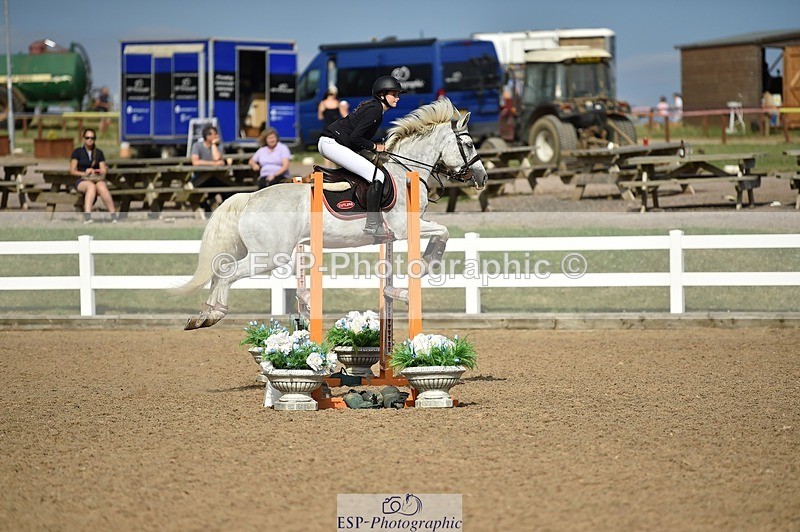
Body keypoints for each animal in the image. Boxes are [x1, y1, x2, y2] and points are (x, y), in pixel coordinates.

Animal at [174, 98, 488, 329]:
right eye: (469, 144)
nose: (482, 177)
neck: (407, 170)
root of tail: (250, 198)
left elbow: (442, 231)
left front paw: (426, 262)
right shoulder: (404, 226)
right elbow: (443, 231)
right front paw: (426, 263)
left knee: (219, 269)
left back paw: (204, 316)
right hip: (271, 255)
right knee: (227, 272)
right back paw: (216, 314)